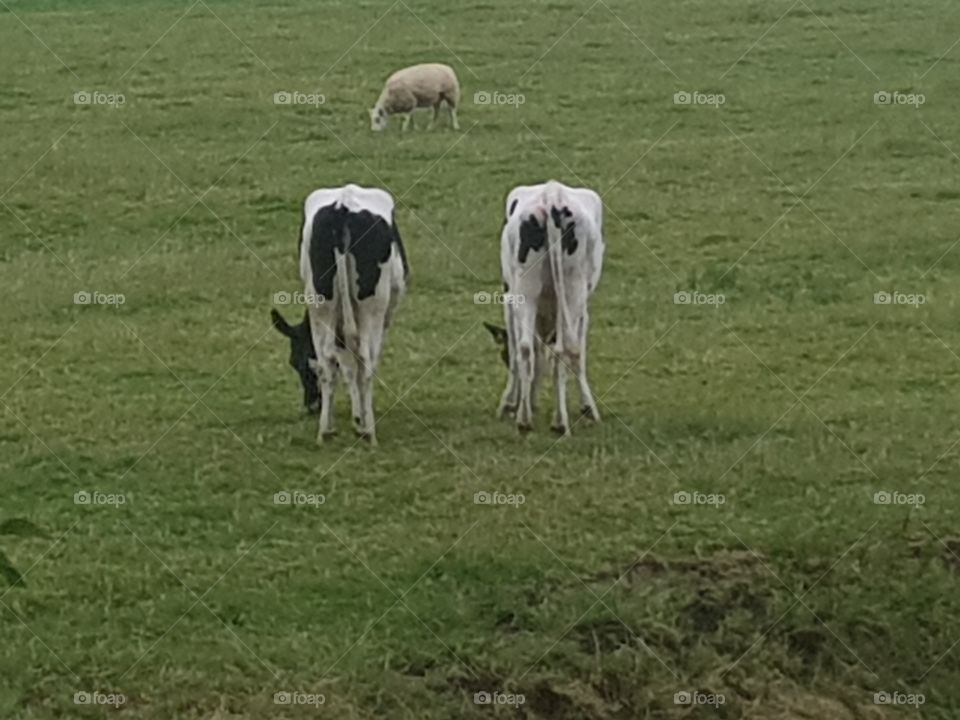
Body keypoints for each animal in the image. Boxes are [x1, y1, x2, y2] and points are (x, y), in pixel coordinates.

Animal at [277, 184, 408, 445]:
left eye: (295, 362)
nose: (311, 406)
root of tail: (342, 206)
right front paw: (359, 417)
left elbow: (341, 365)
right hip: (372, 307)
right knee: (365, 360)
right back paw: (368, 431)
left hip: (320, 302)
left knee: (328, 360)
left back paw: (325, 431)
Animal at [487, 180, 604, 435]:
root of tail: (553, 196)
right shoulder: (582, 311)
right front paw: (587, 407)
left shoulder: (510, 301)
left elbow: (523, 351)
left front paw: (514, 403)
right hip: (572, 289)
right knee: (563, 349)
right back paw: (559, 421)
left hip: (527, 289)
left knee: (526, 348)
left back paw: (526, 420)